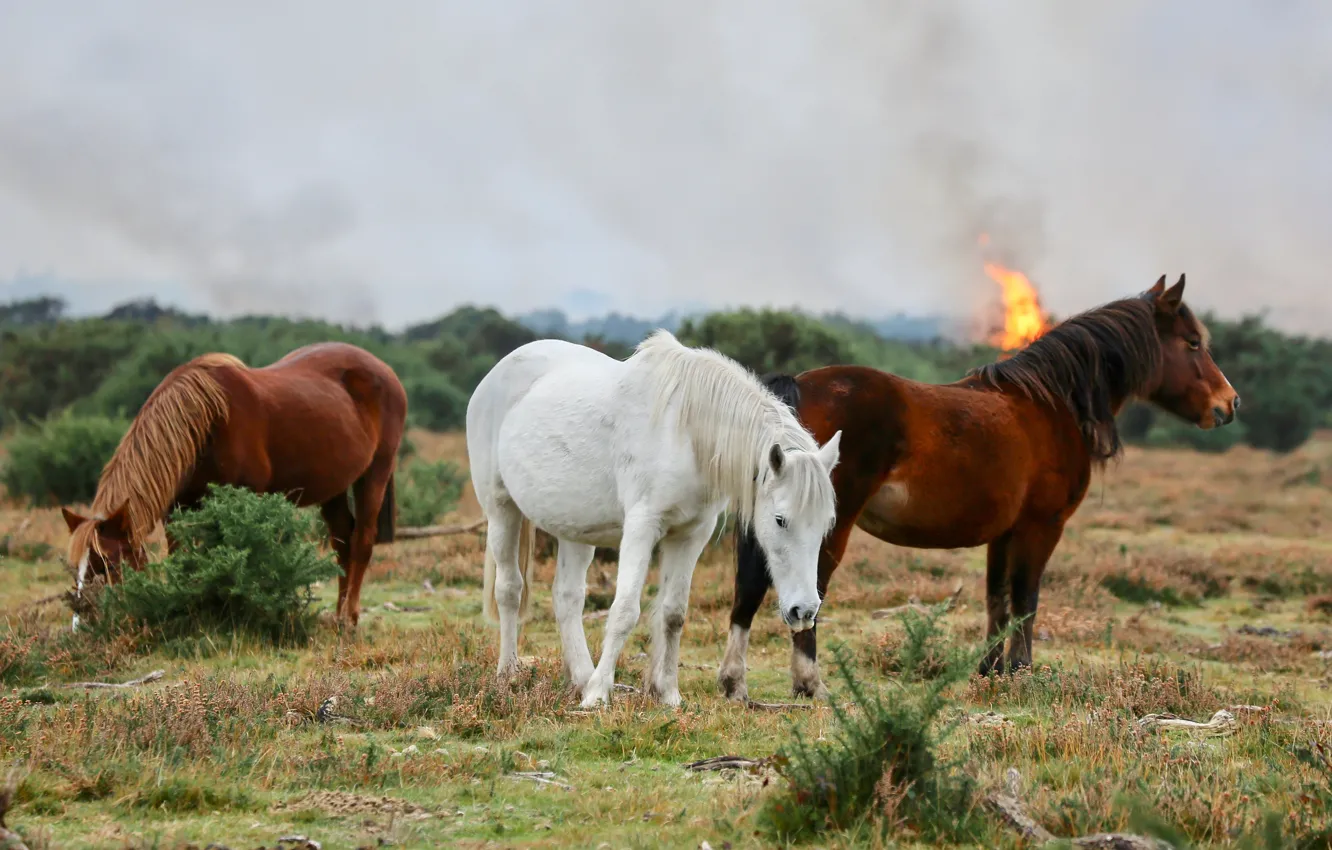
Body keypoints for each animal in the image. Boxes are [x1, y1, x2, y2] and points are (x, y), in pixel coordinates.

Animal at [61, 342, 408, 629]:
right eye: (77, 568)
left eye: (109, 564)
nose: (84, 624)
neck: (205, 424)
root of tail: (386, 371)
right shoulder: (176, 512)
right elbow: (185, 562)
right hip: (334, 486)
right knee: (342, 542)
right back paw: (336, 617)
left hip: (375, 471)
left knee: (361, 540)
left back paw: (349, 619)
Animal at [466, 329, 841, 709]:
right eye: (780, 520)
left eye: (826, 524)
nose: (804, 612)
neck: (687, 432)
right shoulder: (642, 527)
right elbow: (624, 611)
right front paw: (598, 695)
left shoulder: (691, 535)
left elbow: (673, 614)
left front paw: (669, 694)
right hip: (501, 510)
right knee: (509, 590)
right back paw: (509, 675)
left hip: (575, 529)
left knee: (567, 597)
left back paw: (581, 678)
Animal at [718, 274, 1240, 701]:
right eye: (1193, 343)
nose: (1229, 403)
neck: (1050, 403)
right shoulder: (1041, 526)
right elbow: (1026, 599)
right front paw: (1022, 671)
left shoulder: (1003, 533)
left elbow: (997, 601)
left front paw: (992, 671)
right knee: (806, 590)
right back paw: (810, 682)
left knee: (749, 588)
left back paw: (734, 682)